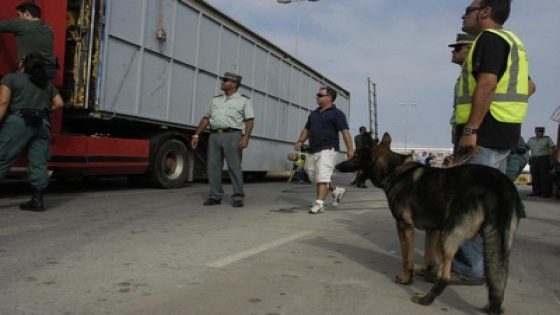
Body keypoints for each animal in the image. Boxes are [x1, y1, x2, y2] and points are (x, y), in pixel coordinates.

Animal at [336, 132, 524, 314]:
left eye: (356, 156)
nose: (338, 166)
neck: (394, 170)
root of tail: (500, 185)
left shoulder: (404, 227)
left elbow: (407, 258)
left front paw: (406, 278)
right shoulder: (433, 229)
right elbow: (429, 254)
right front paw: (426, 270)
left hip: (448, 236)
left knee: (445, 276)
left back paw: (426, 299)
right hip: (500, 242)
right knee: (499, 274)